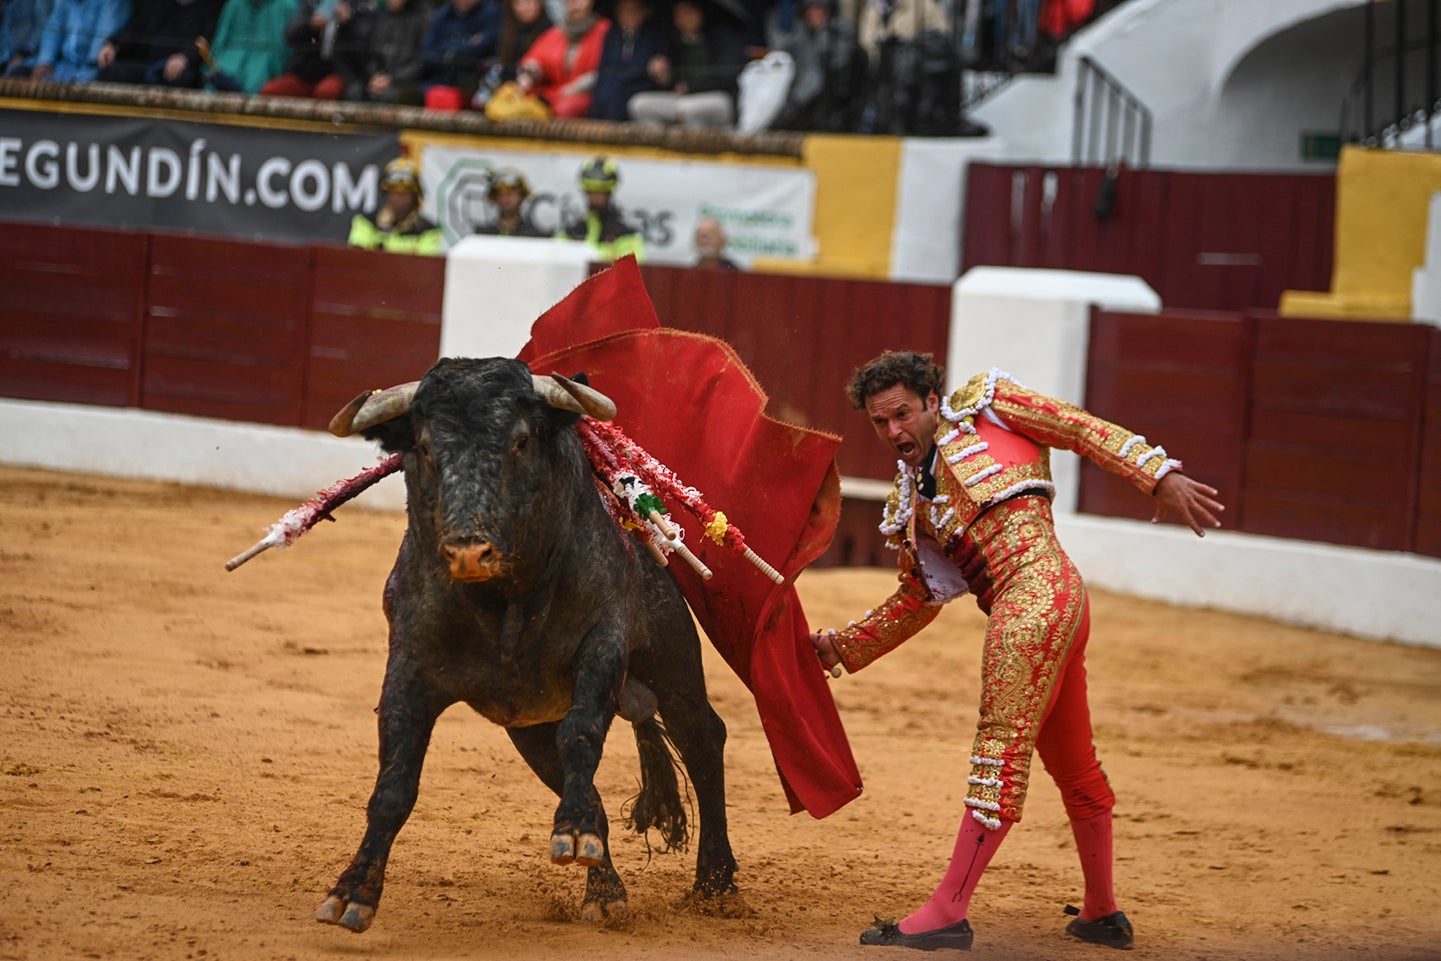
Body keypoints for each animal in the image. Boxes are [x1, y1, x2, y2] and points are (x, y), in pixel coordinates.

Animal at [319, 355, 737, 933]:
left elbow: (582, 734)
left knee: (703, 740)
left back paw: (716, 884)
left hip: (672, 666)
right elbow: (393, 784)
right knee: (576, 779)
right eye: (424, 446)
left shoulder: (602, 646)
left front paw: (578, 831)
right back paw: (604, 890)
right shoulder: (408, 667)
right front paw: (352, 892)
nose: (468, 551)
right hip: (530, 729)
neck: (504, 602)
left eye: (519, 441)